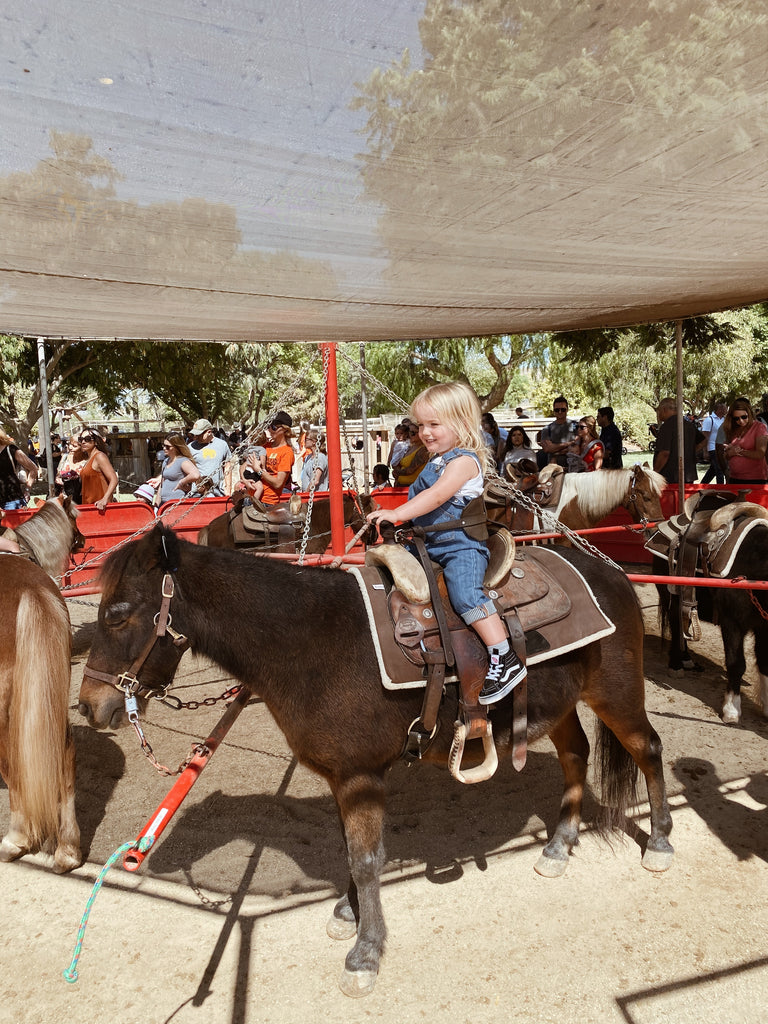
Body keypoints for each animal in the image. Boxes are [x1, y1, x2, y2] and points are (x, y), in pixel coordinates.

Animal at [81, 524, 675, 995]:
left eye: (118, 613)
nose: (90, 705)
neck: (309, 639)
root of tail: (610, 571)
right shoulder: (344, 779)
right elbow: (349, 851)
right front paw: (350, 911)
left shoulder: (361, 777)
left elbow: (366, 859)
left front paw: (366, 953)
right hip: (561, 705)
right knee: (577, 755)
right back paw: (558, 846)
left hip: (616, 693)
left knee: (648, 749)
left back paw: (660, 843)